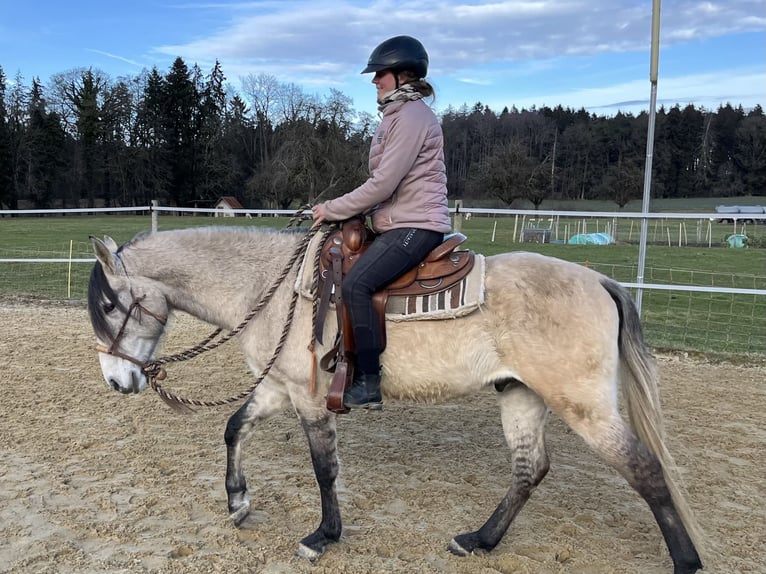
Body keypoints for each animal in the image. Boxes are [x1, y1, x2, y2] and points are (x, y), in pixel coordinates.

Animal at [87, 226, 704, 574]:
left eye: (112, 305)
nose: (117, 381)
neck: (272, 288)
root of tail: (599, 281)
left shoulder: (309, 399)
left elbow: (324, 468)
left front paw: (323, 536)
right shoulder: (277, 388)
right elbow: (235, 427)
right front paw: (238, 501)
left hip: (583, 406)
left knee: (645, 469)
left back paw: (687, 562)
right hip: (522, 395)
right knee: (530, 469)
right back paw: (478, 540)